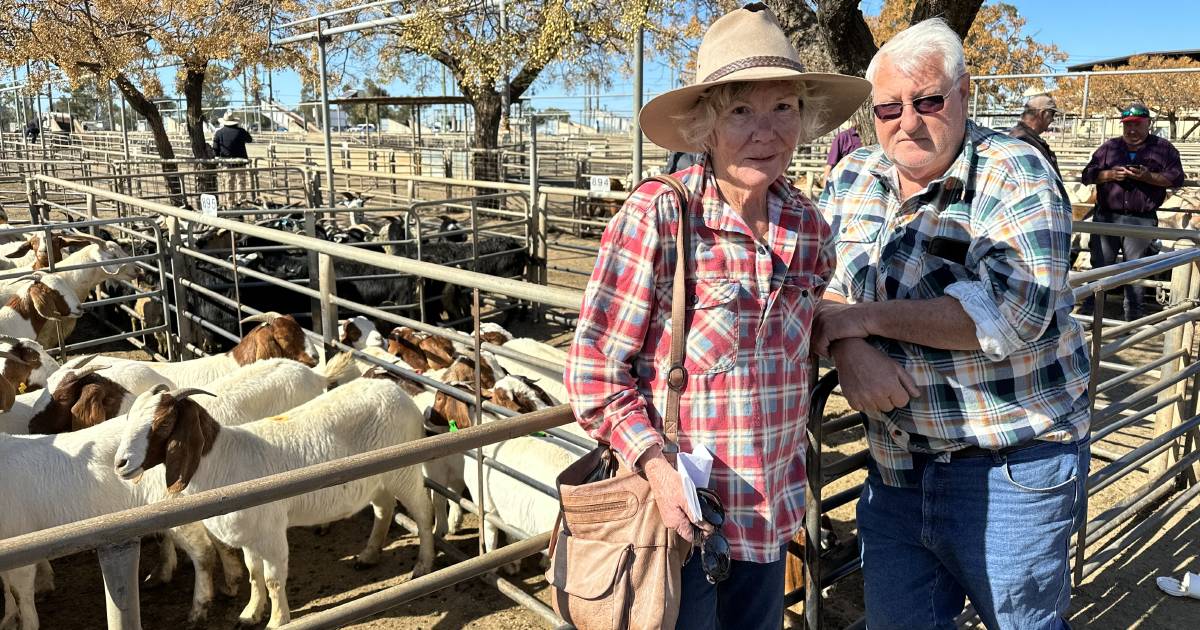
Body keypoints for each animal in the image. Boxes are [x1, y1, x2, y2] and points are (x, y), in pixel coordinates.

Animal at [113, 376, 436, 624]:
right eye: (128, 418)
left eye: (163, 423)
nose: (120, 464)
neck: (221, 460)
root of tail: (396, 390)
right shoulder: (249, 533)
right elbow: (254, 574)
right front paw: (250, 614)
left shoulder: (270, 531)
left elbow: (273, 579)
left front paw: (278, 621)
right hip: (377, 477)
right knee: (384, 508)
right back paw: (368, 556)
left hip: (405, 470)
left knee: (423, 511)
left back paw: (423, 566)